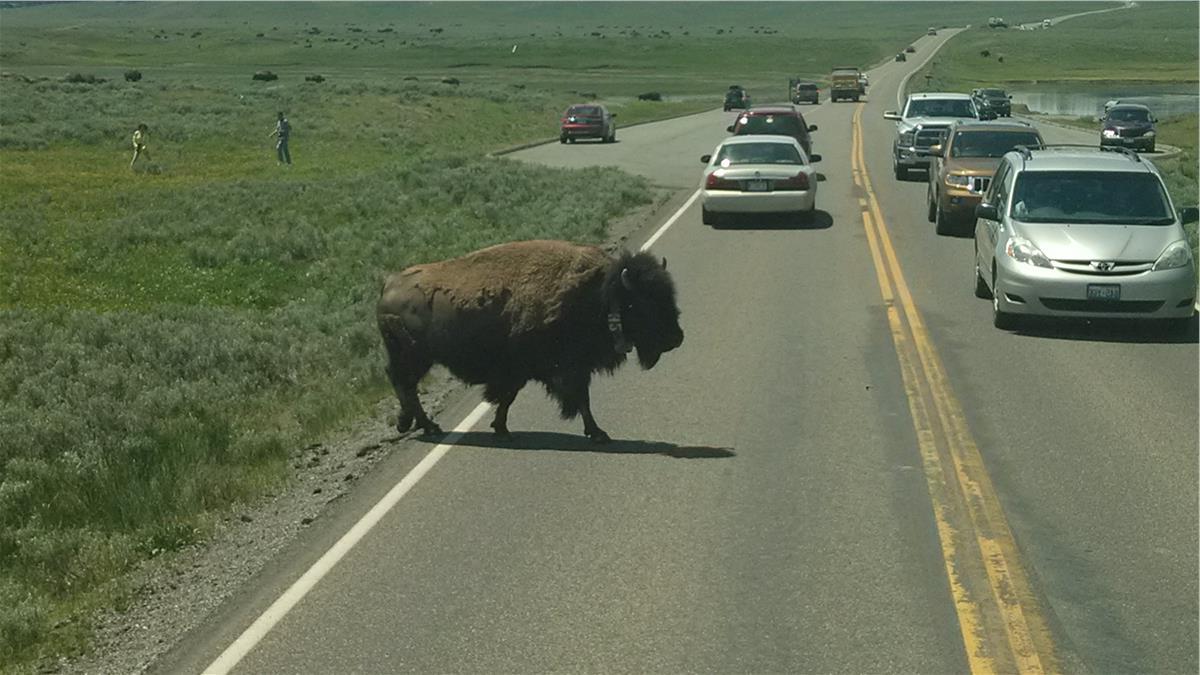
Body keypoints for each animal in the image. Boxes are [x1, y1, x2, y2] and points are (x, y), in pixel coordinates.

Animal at [374, 237, 686, 441]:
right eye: (641, 303)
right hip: (415, 358)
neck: (600, 295)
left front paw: (500, 427)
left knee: (404, 385)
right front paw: (598, 433)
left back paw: (410, 424)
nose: (677, 338)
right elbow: (580, 400)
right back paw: (427, 426)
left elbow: (509, 398)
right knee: (404, 384)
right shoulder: (565, 370)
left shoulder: (531, 371)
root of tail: (388, 285)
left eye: (669, 295)